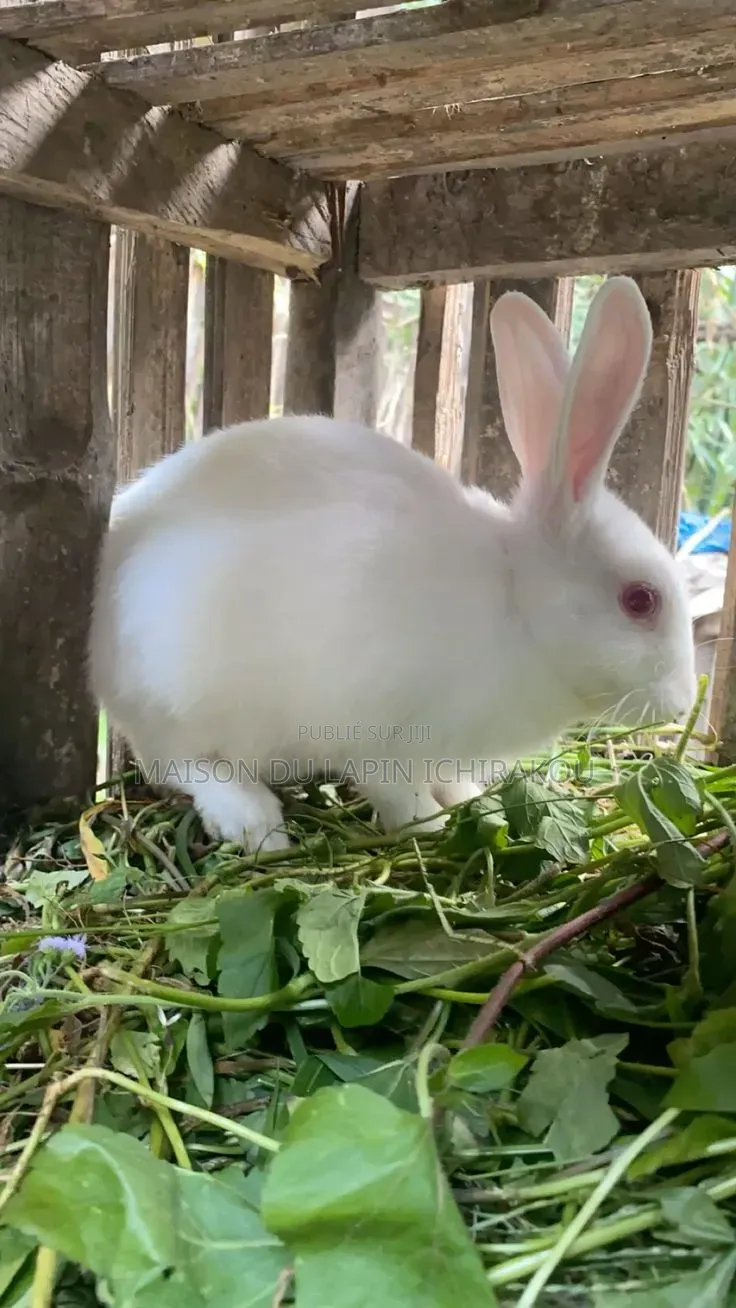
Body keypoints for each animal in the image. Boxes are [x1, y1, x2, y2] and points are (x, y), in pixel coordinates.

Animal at [88, 275, 697, 853]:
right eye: (640, 599)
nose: (683, 700)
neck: (516, 603)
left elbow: (451, 784)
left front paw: (475, 807)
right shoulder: (383, 739)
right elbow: (399, 796)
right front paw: (432, 828)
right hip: (183, 694)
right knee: (178, 763)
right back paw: (254, 820)